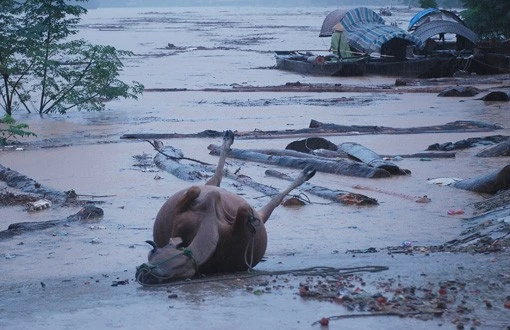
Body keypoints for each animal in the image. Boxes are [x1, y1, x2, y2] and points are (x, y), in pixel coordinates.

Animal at [135, 130, 314, 284]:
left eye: (152, 252)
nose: (144, 273)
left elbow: (196, 189)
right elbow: (233, 203)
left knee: (217, 180)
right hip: (255, 212)